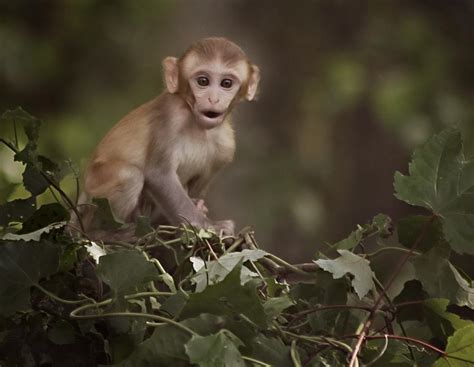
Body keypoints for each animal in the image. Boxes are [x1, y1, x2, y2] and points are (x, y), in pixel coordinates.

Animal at [79, 37, 262, 236]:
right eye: (203, 81)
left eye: (226, 83)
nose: (213, 99)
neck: (199, 127)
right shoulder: (170, 115)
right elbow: (160, 175)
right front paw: (210, 226)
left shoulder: (226, 146)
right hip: (93, 200)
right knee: (129, 175)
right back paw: (111, 234)